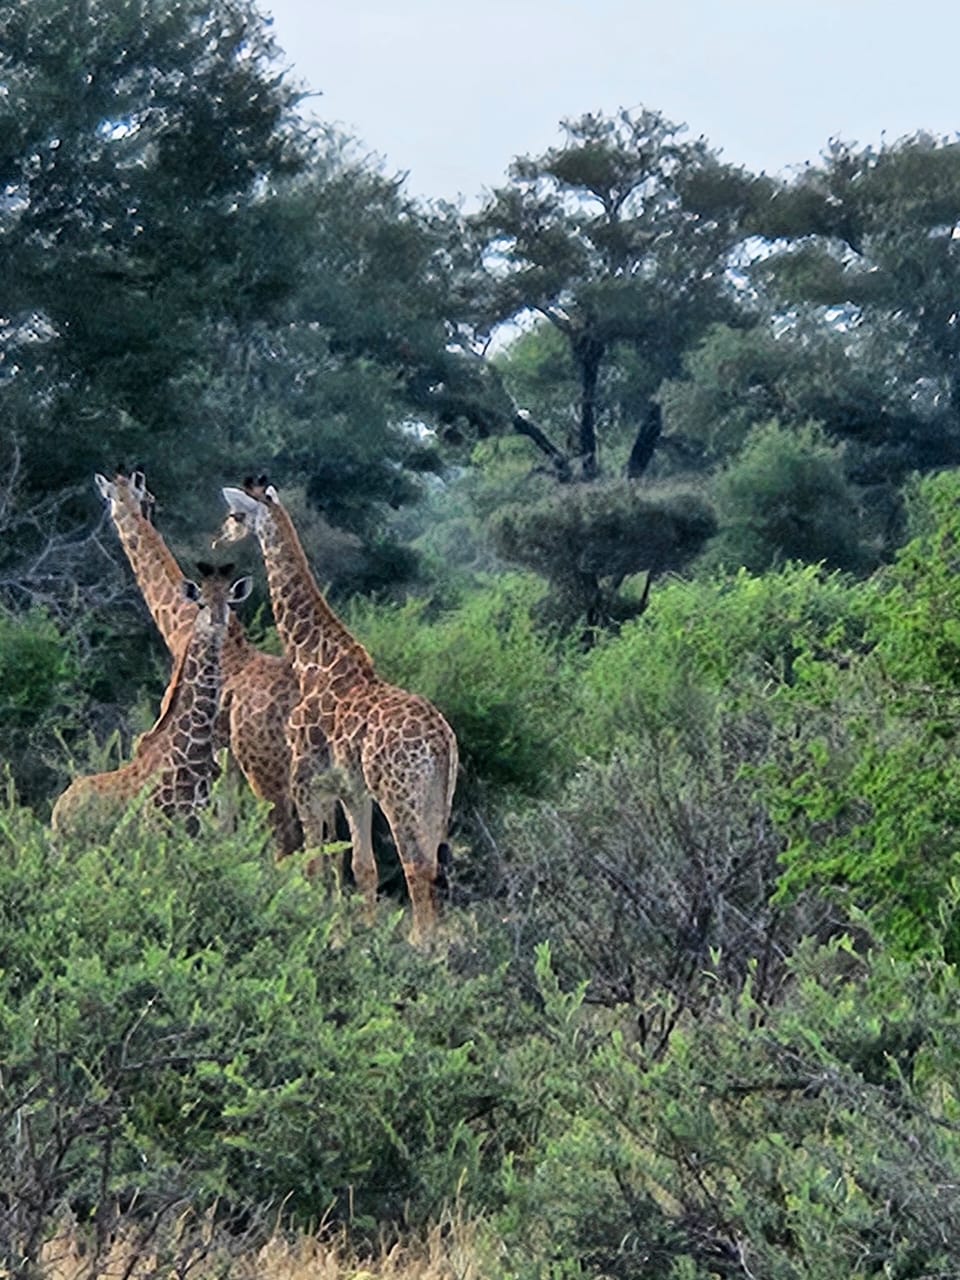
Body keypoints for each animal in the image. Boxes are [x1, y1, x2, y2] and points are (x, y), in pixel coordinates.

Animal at [52, 565, 252, 839]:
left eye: (229, 603)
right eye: (201, 603)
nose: (219, 622)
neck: (192, 753)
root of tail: (58, 808)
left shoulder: (193, 826)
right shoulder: (155, 826)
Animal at [94, 470, 303, 855]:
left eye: (109, 498)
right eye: (148, 497)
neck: (179, 626)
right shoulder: (223, 758)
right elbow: (225, 822)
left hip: (266, 764)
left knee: (288, 836)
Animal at [215, 477, 458, 940]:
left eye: (235, 515)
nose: (218, 539)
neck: (312, 659)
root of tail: (441, 742)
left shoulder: (306, 782)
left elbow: (313, 864)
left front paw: (319, 927)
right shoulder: (351, 789)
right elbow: (362, 866)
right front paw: (362, 933)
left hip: (398, 792)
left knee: (415, 864)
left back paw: (421, 944)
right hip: (438, 793)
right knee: (433, 863)